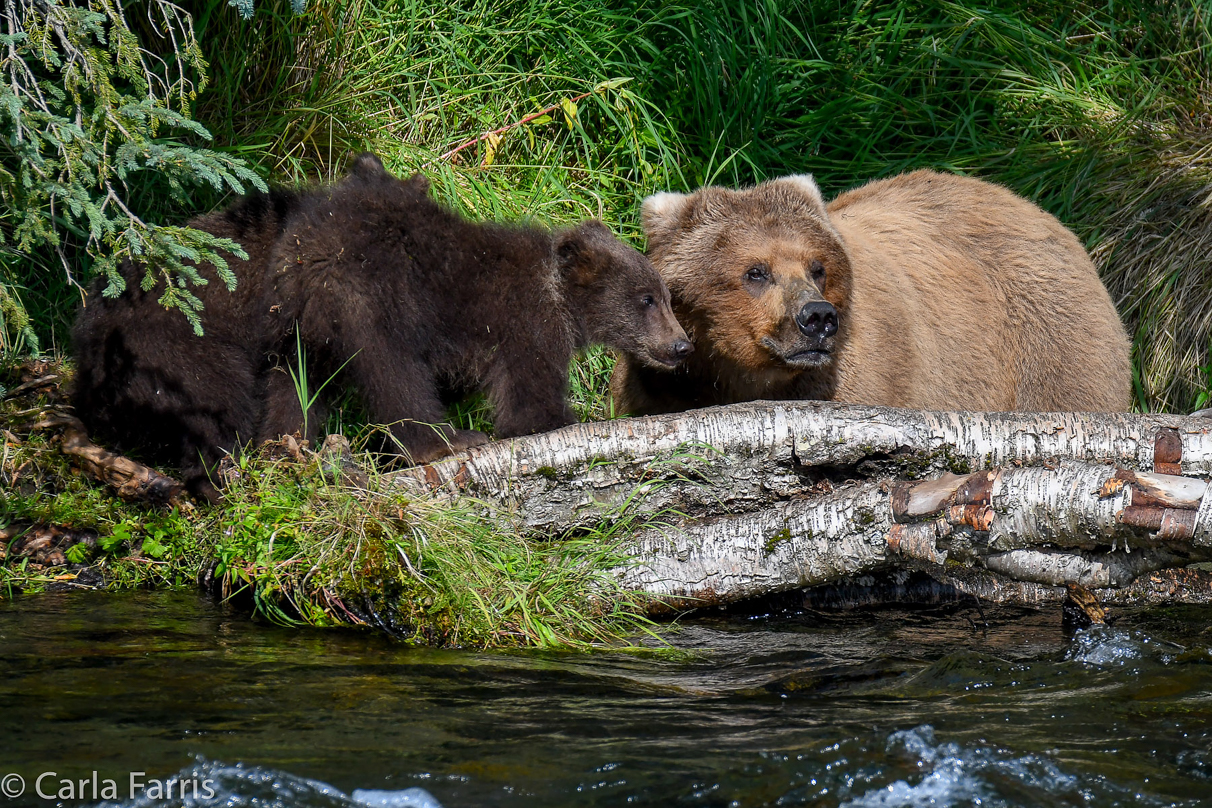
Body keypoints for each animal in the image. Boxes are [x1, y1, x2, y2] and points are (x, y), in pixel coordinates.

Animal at [73, 155, 693, 501]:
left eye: (667, 297)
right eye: (646, 299)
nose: (682, 345)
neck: (562, 300)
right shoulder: (525, 325)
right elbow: (530, 405)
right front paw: (569, 419)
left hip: (300, 331)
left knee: (295, 387)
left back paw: (288, 448)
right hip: (352, 303)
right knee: (384, 371)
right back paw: (442, 441)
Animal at [610, 167, 1129, 414]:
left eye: (818, 267)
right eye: (756, 271)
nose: (817, 318)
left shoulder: (865, 375)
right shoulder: (661, 383)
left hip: (1046, 340)